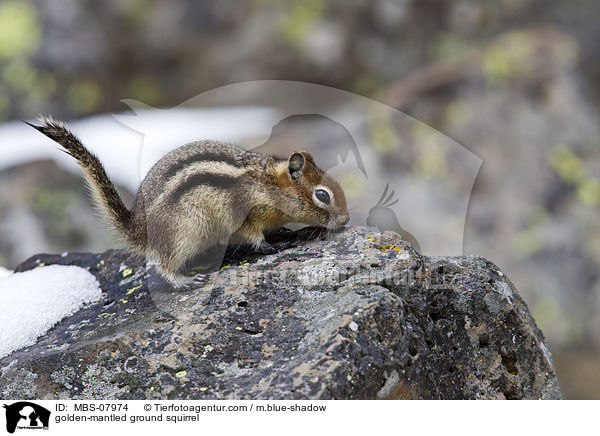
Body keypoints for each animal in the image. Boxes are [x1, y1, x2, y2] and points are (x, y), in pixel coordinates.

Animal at [27, 116, 346, 286]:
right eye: (322, 195)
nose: (345, 220)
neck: (268, 185)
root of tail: (139, 227)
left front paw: (285, 232)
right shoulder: (247, 215)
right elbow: (255, 238)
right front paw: (273, 246)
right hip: (184, 232)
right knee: (163, 264)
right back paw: (185, 280)